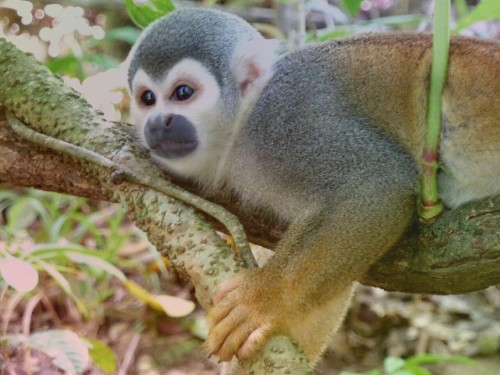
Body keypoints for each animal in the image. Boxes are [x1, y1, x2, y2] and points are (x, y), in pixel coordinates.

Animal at [127, 8, 500, 364]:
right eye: (147, 99)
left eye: (183, 93)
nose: (157, 124)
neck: (239, 128)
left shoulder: (285, 120)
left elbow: (378, 182)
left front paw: (267, 299)